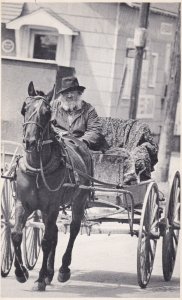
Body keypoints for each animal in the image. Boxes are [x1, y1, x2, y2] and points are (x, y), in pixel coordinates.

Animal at [12, 81, 92, 290]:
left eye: (47, 113)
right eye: (24, 108)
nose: (30, 141)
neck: (38, 168)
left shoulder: (51, 207)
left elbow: (46, 241)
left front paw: (39, 279)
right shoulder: (23, 204)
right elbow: (16, 234)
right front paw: (21, 273)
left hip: (79, 201)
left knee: (73, 229)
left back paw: (63, 270)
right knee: (55, 231)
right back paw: (49, 273)